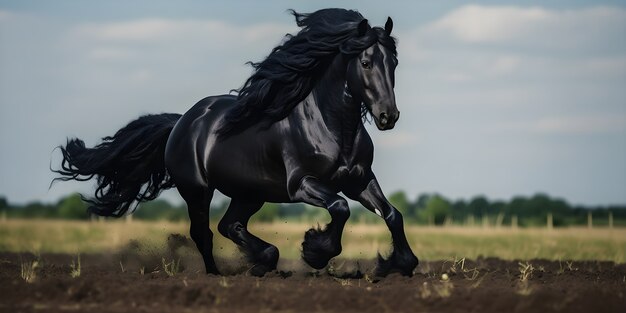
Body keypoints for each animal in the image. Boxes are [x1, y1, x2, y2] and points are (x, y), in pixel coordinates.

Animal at [53, 8, 414, 276]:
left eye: (394, 62)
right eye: (365, 62)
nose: (388, 116)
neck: (333, 128)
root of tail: (181, 122)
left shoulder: (359, 180)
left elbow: (392, 214)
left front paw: (402, 264)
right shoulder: (301, 184)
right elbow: (340, 208)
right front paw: (315, 251)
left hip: (249, 193)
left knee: (230, 225)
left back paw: (264, 260)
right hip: (197, 191)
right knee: (204, 233)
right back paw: (219, 274)